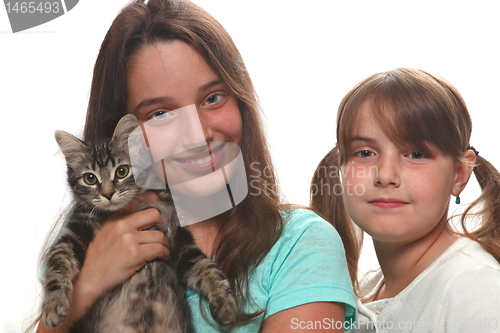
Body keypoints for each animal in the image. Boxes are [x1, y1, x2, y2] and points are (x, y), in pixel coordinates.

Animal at [41, 115, 238, 332]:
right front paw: (53, 305)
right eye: (90, 178)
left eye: (122, 171)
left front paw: (226, 303)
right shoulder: (73, 233)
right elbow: (57, 264)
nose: (108, 194)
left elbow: (206, 267)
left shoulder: (179, 237)